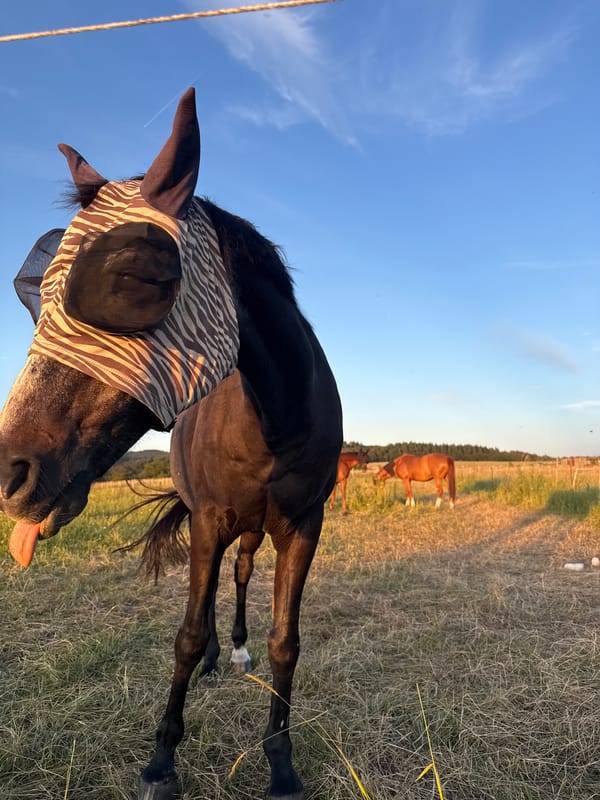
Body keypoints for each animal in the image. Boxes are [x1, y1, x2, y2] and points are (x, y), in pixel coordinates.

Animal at [0, 88, 342, 800]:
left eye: (132, 276)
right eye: (35, 292)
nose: (8, 473)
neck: (277, 414)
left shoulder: (304, 525)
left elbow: (286, 641)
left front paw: (281, 763)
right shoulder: (210, 519)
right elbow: (184, 635)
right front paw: (161, 761)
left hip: (253, 527)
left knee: (239, 574)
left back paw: (232, 646)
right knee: (212, 594)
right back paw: (215, 651)